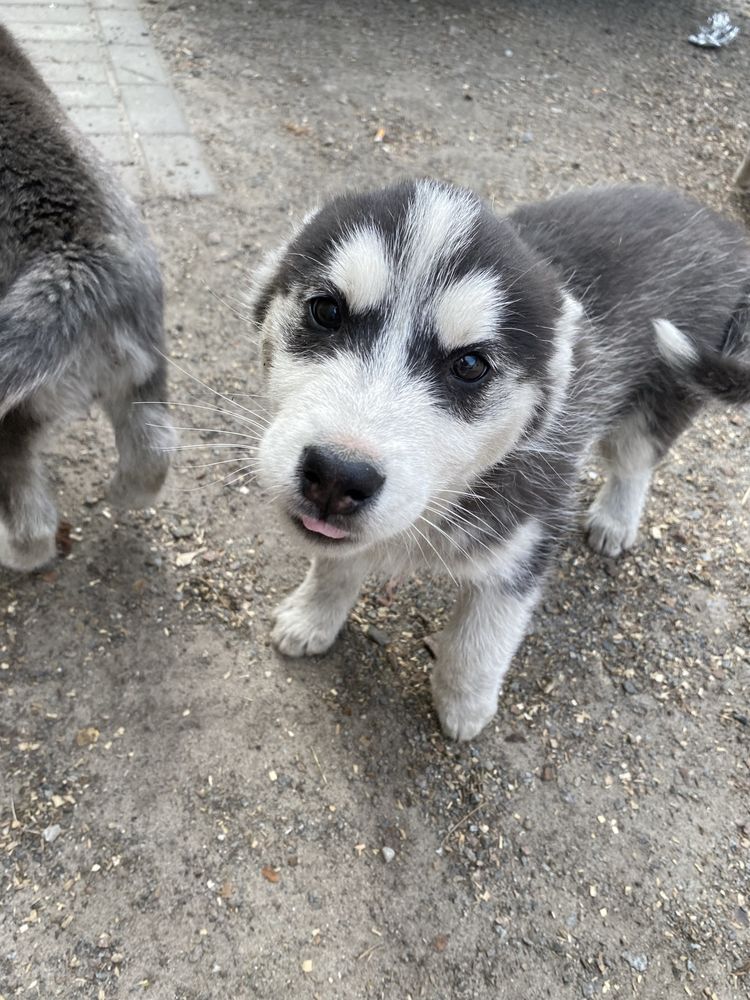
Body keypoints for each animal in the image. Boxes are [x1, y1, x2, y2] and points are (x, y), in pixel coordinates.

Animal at [0, 27, 176, 572]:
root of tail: (76, 259)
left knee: (28, 523)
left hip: (11, 416)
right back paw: (126, 493)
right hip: (144, 369)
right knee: (153, 451)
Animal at [251, 178, 750, 744]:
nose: (337, 477)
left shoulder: (528, 537)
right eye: (327, 312)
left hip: (661, 394)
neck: (451, 492)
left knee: (635, 461)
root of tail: (721, 228)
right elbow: (335, 566)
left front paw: (464, 705)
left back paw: (615, 518)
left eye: (470, 364)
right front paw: (311, 617)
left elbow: (480, 640)